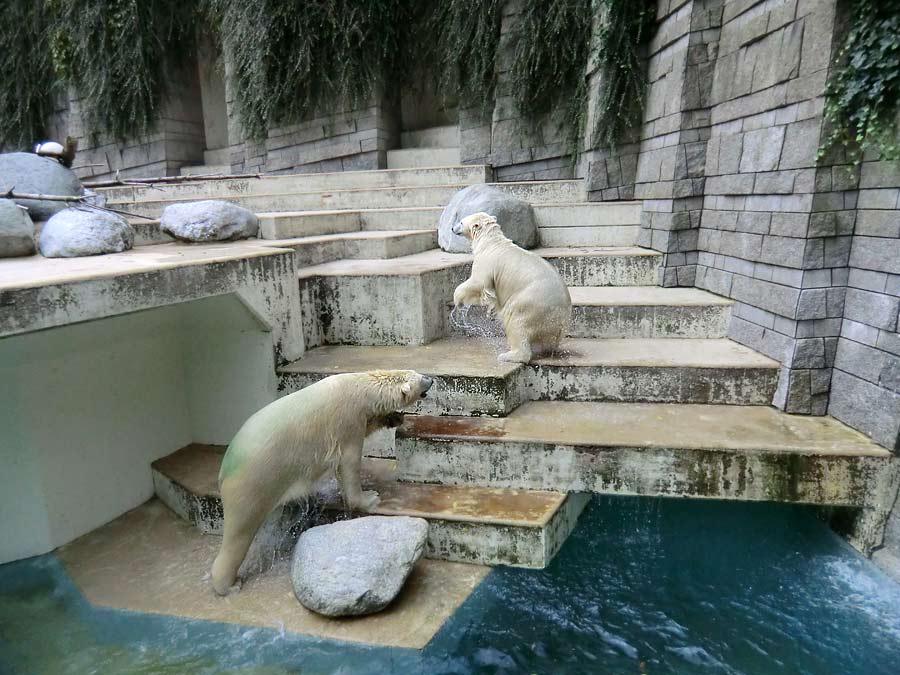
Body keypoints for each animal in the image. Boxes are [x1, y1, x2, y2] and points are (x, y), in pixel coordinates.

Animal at [213, 370, 434, 596]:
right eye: (419, 379)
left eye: (418, 373)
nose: (431, 379)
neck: (360, 386)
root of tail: (223, 471)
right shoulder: (348, 420)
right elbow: (349, 462)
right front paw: (370, 498)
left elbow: (371, 424)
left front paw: (394, 417)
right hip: (254, 482)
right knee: (239, 532)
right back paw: (229, 584)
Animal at [454, 213, 572, 364]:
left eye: (461, 222)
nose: (452, 228)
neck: (490, 241)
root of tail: (559, 320)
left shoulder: (486, 262)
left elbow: (478, 282)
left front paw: (458, 300)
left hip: (530, 304)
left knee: (516, 322)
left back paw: (508, 355)